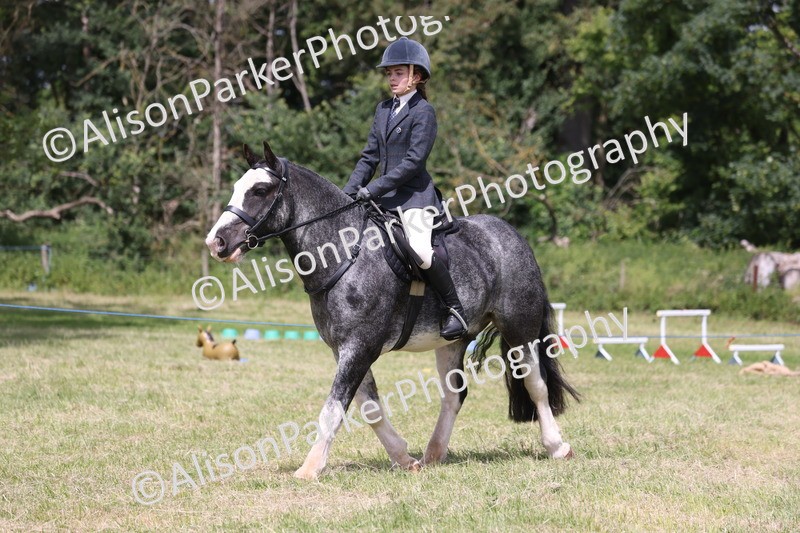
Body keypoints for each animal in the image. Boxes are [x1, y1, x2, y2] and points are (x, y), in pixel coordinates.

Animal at [205, 141, 579, 480]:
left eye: (260, 190)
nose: (216, 242)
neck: (343, 252)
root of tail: (510, 234)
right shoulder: (345, 349)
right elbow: (369, 407)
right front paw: (403, 458)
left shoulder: (360, 346)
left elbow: (333, 409)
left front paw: (309, 469)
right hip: (452, 341)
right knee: (454, 394)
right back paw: (433, 454)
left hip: (519, 328)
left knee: (535, 384)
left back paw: (557, 446)